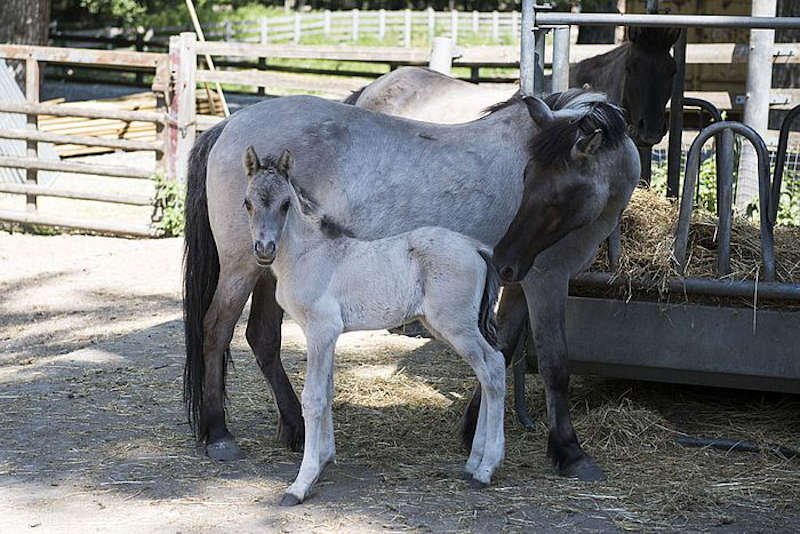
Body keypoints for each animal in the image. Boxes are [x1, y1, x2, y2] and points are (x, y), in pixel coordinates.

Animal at [184, 88, 640, 482]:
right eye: (527, 179)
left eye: (558, 192)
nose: (505, 256)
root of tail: (231, 123)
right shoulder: (546, 279)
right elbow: (554, 363)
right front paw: (569, 451)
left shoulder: (517, 282)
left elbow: (504, 350)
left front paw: (473, 432)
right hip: (243, 265)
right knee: (216, 329)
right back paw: (219, 434)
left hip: (269, 267)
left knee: (262, 338)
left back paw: (295, 428)